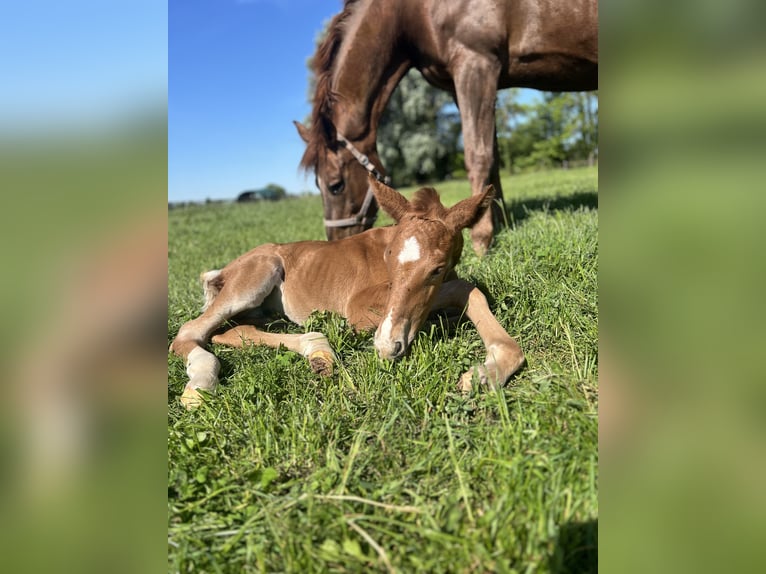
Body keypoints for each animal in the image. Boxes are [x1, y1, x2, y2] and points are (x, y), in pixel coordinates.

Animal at [170, 176, 524, 409]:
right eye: (389, 256)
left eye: (436, 268)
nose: (387, 347)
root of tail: (226, 271)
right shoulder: (357, 309)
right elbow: (462, 288)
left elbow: (468, 293)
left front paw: (486, 373)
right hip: (258, 274)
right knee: (190, 331)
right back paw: (200, 384)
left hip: (261, 312)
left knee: (233, 330)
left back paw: (318, 352)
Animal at [295, 0, 598, 255]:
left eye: (335, 186)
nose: (336, 243)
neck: (412, 11)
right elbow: (493, 156)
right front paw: (497, 223)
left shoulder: (476, 64)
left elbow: (478, 155)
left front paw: (481, 239)